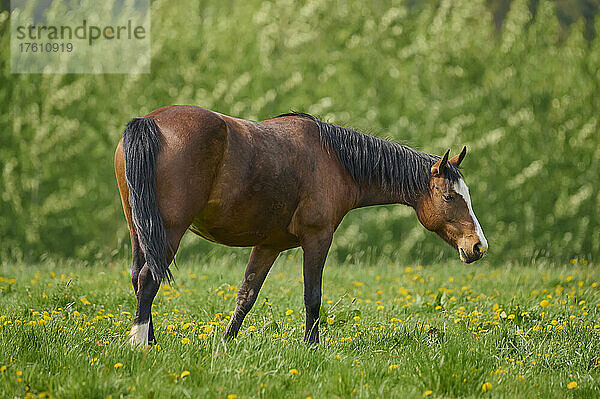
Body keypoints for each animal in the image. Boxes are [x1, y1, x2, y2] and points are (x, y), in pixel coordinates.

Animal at [113, 105, 488, 346]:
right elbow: (313, 296)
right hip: (167, 231)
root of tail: (149, 122)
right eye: (450, 197)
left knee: (138, 277)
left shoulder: (268, 245)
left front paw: (224, 343)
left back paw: (152, 339)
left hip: (139, 229)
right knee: (148, 278)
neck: (335, 159)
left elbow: (246, 295)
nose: (478, 246)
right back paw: (140, 343)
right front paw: (311, 348)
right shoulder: (318, 238)